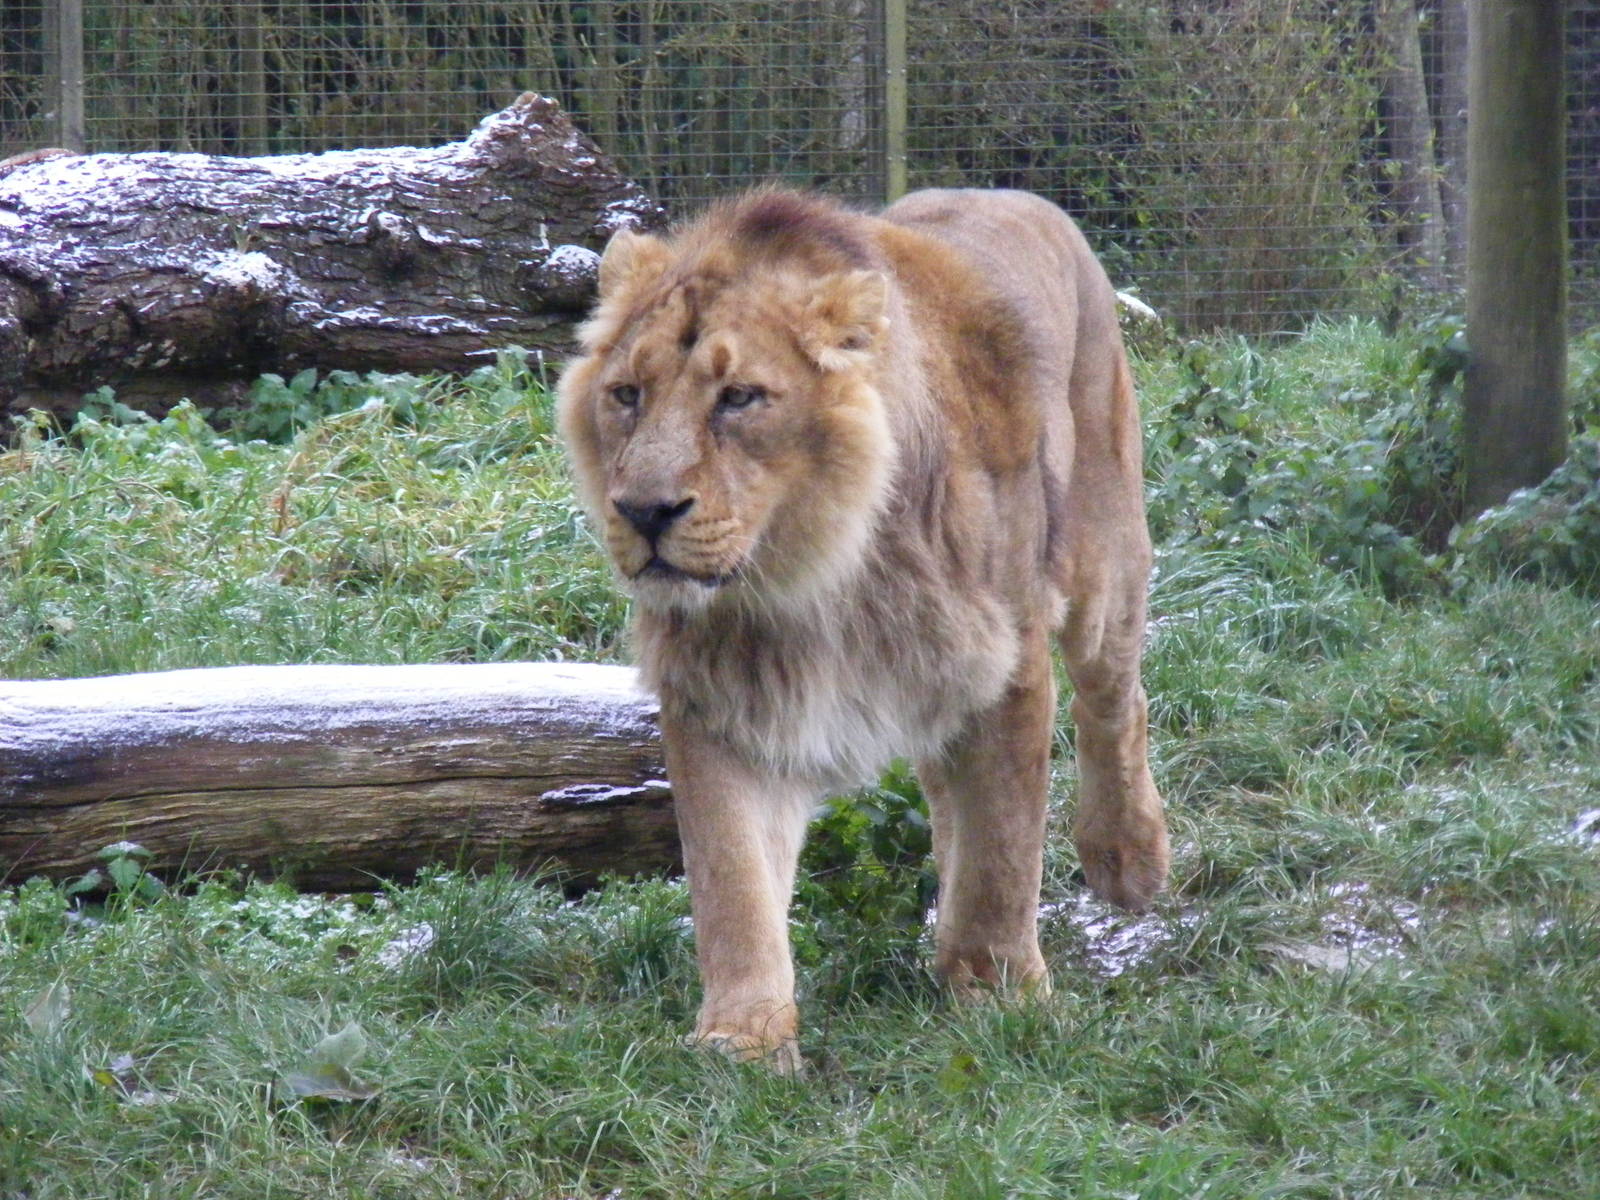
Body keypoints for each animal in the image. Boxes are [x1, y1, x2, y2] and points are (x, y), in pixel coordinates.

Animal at [557, 188, 1169, 1072]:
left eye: (739, 397)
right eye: (628, 394)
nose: (643, 512)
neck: (812, 574)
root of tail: (1012, 194)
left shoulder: (1007, 663)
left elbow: (1005, 846)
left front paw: (1000, 993)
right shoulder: (718, 698)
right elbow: (731, 877)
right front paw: (742, 1037)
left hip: (1103, 550)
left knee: (1116, 698)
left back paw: (1129, 859)